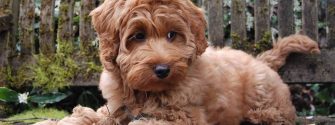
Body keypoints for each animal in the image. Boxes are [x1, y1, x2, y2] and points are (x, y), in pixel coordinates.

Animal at [90, 0, 322, 124]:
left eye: (172, 34)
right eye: (138, 36)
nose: (163, 70)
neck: (146, 93)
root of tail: (261, 60)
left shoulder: (188, 116)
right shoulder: (116, 106)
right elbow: (100, 115)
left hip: (264, 97)